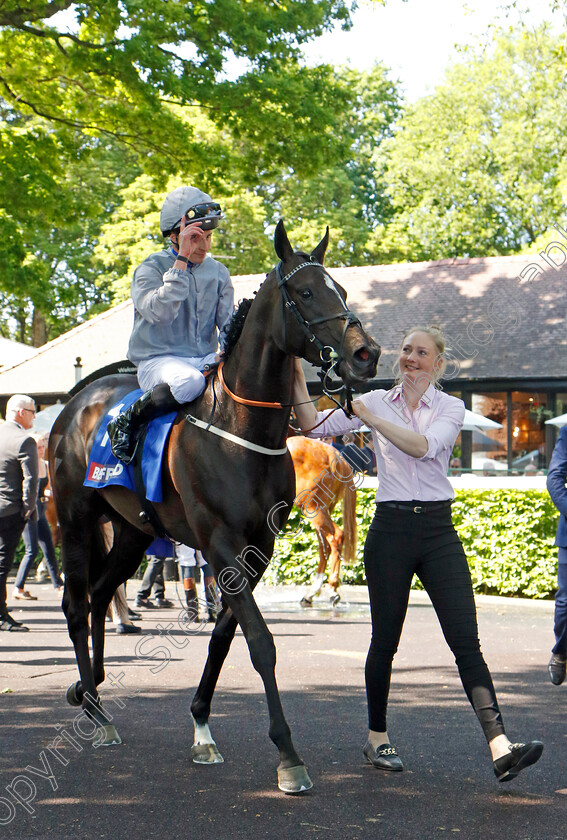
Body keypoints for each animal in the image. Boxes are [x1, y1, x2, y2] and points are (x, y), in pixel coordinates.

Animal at [286, 436, 358, 608]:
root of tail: (335, 456)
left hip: (313, 508)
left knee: (335, 538)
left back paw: (332, 589)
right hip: (322, 510)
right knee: (324, 546)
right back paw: (312, 593)